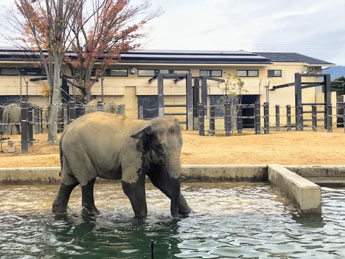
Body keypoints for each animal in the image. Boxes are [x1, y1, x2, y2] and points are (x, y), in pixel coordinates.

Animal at [52, 112, 191, 218]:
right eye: (161, 147)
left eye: (182, 144)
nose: (176, 216)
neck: (146, 124)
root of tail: (65, 131)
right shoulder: (132, 154)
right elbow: (131, 186)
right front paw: (142, 218)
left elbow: (162, 182)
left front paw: (189, 213)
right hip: (78, 151)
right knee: (88, 180)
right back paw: (95, 214)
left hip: (71, 154)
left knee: (69, 180)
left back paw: (60, 211)